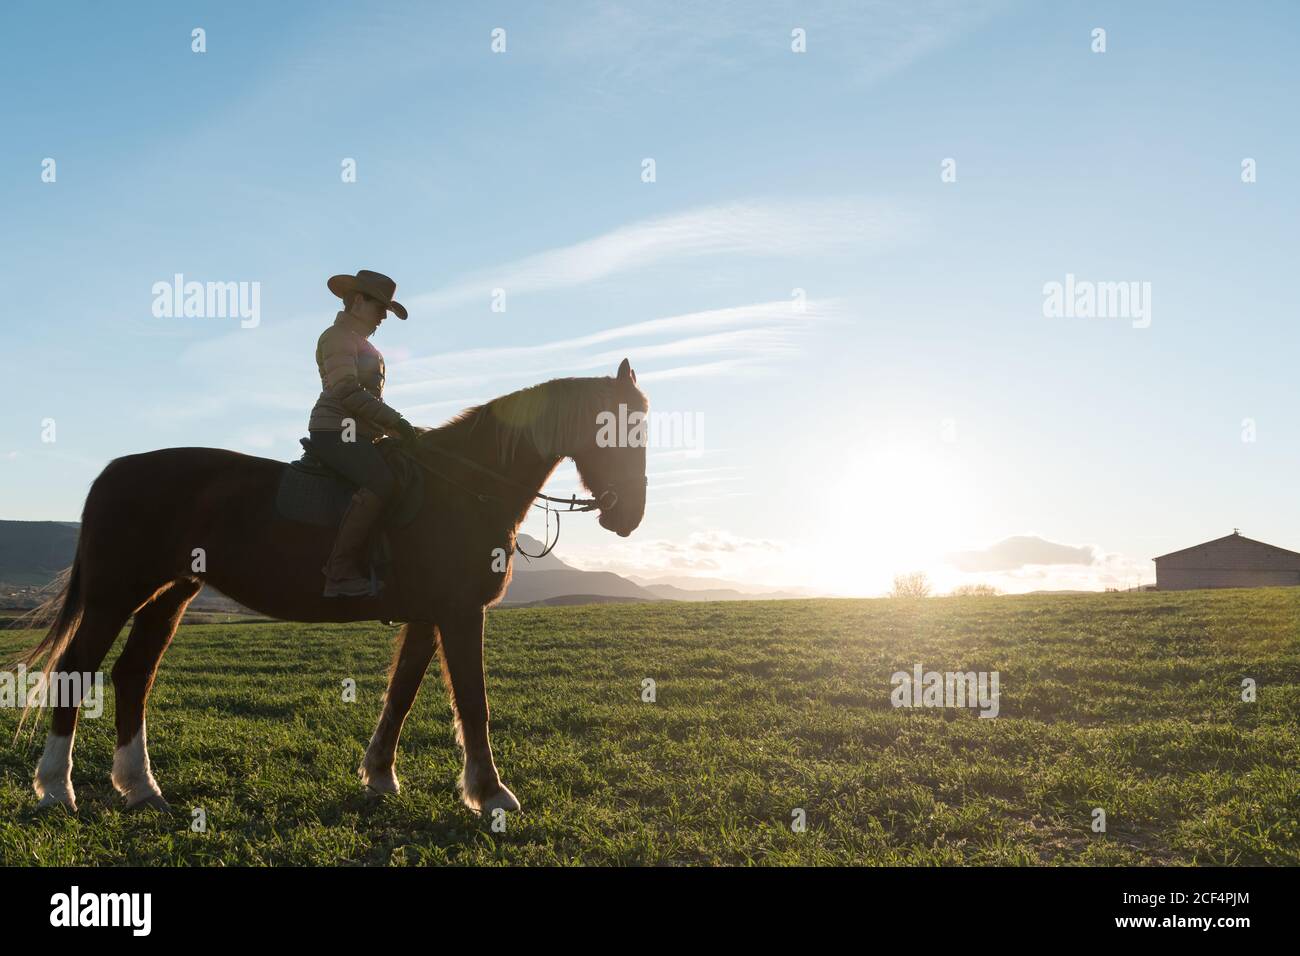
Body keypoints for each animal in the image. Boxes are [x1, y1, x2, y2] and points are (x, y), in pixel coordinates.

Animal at [14, 358, 648, 815]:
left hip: (169, 596)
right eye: (616, 429)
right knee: (78, 670)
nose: (630, 517)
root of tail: (116, 471)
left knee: (133, 676)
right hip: (115, 594)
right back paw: (56, 790)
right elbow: (473, 702)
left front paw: (381, 776)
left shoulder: (429, 614)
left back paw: (141, 788)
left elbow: (401, 693)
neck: (463, 484)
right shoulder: (461, 612)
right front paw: (491, 794)